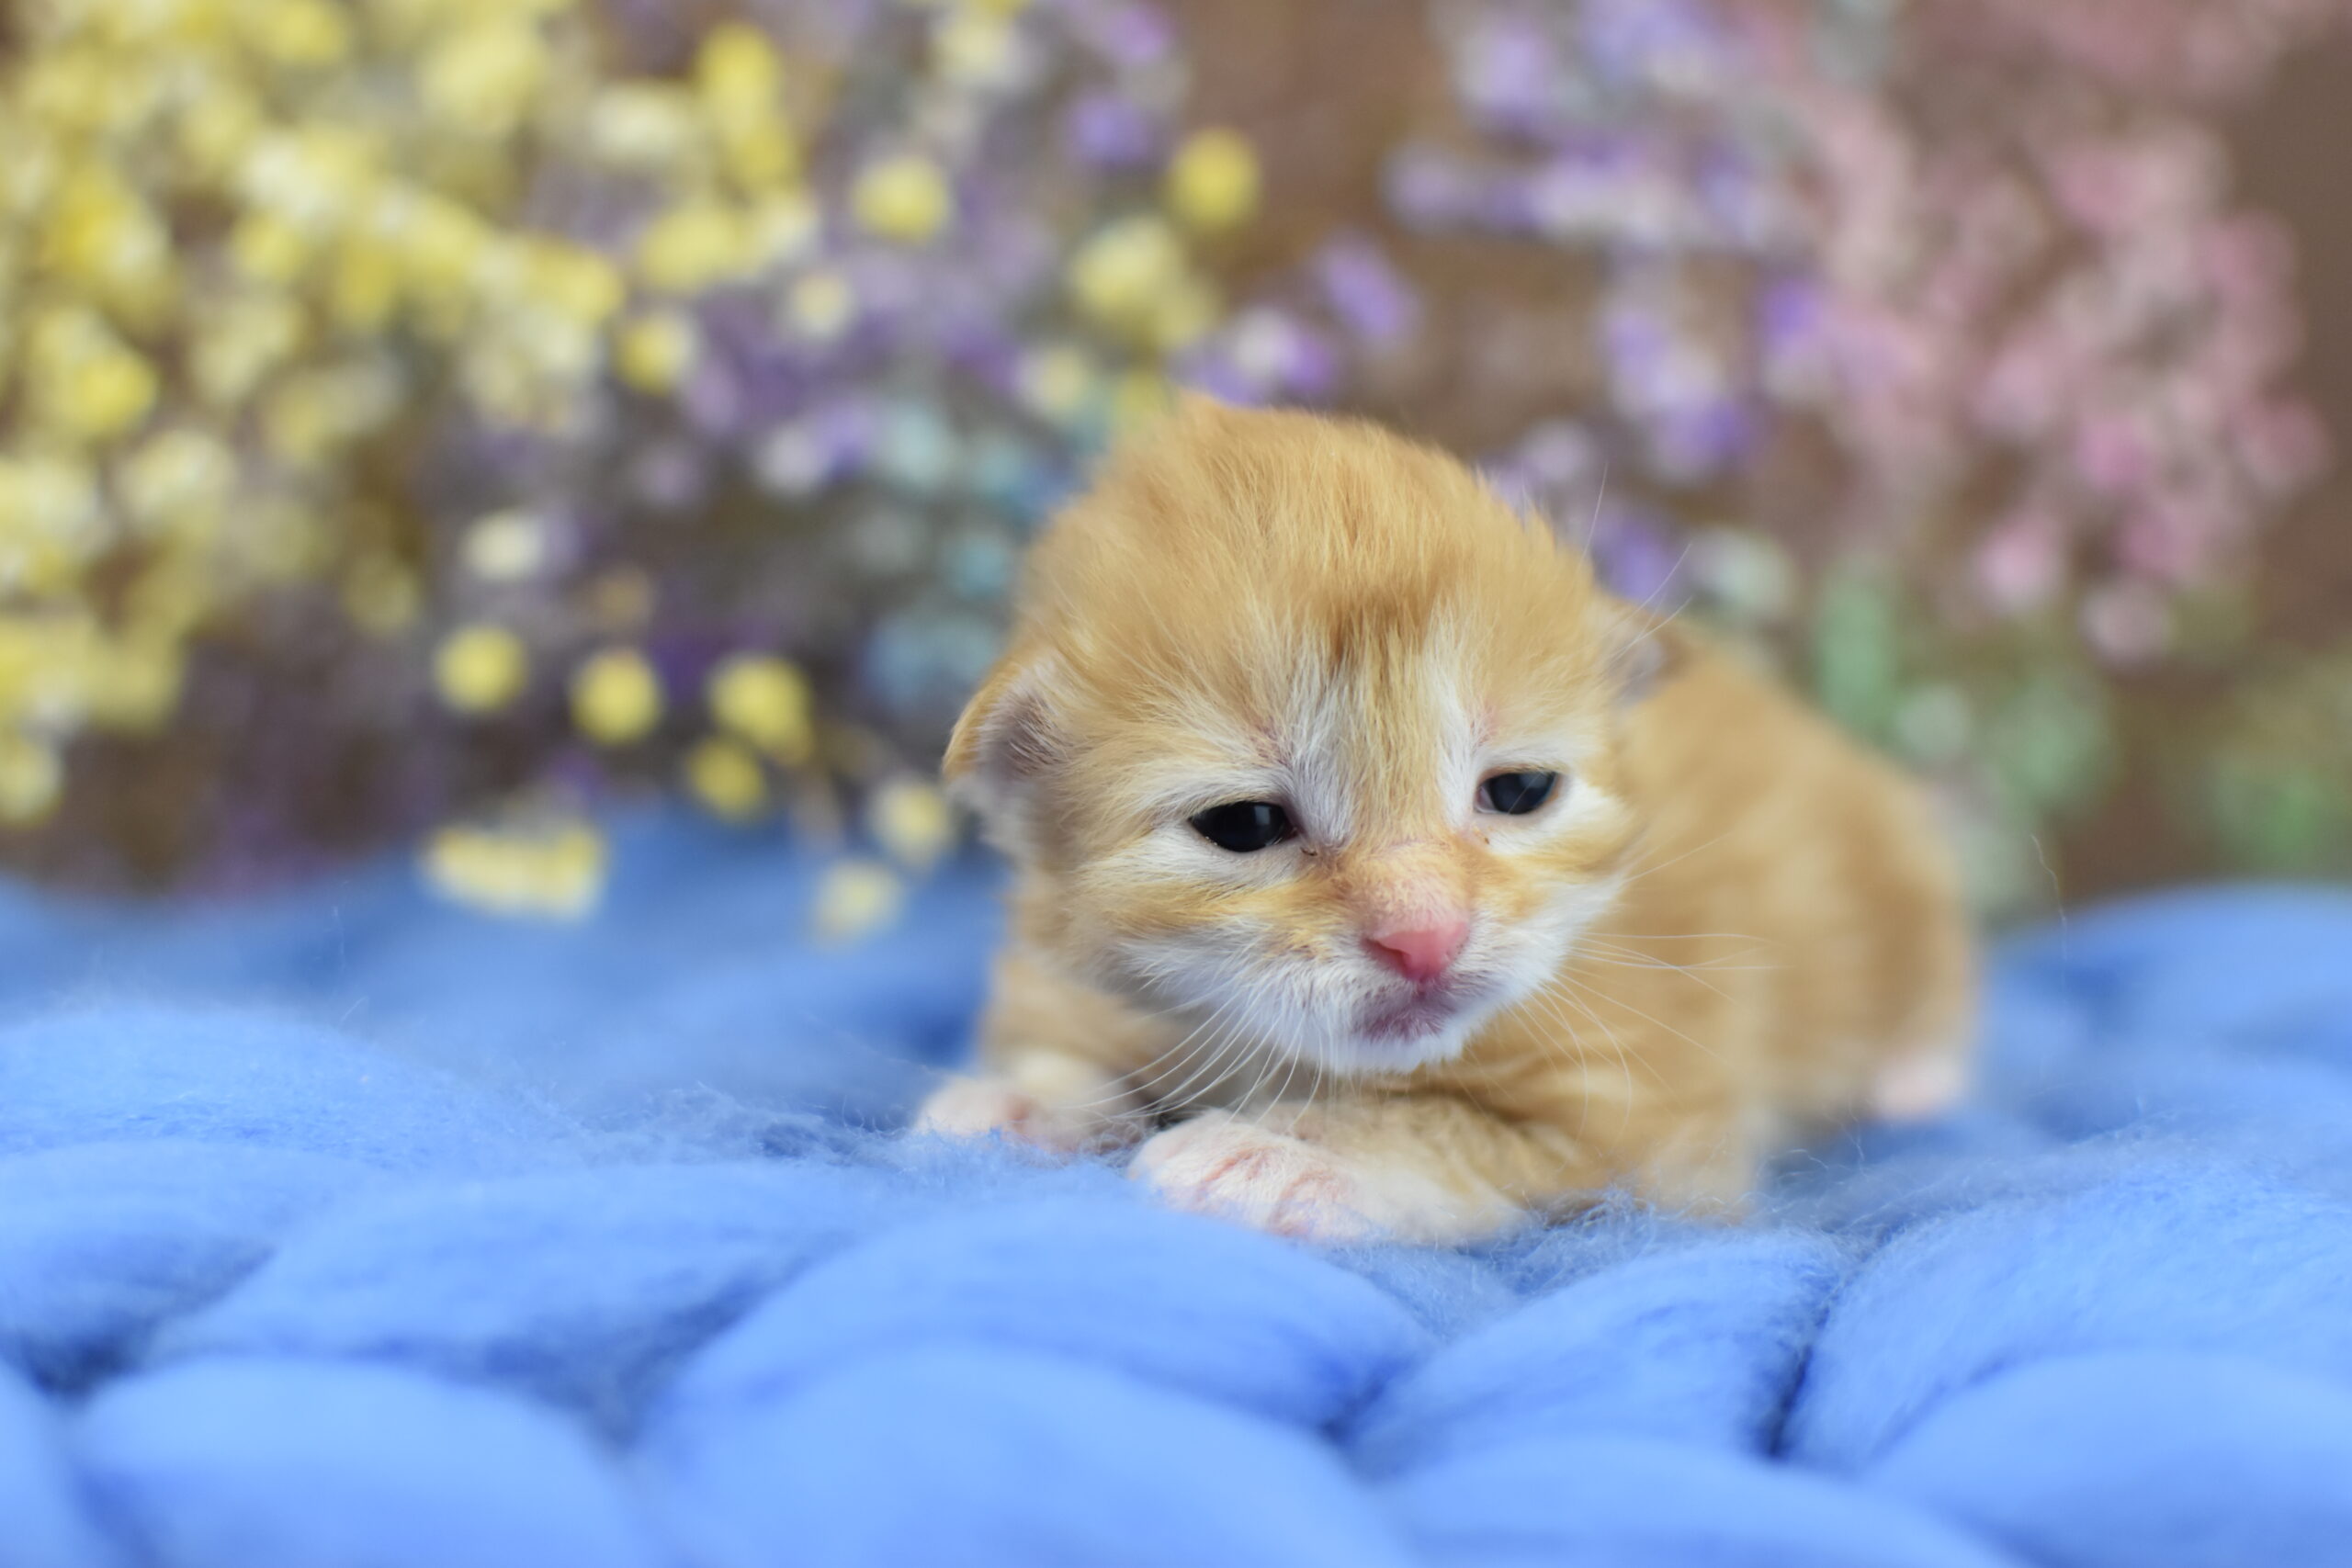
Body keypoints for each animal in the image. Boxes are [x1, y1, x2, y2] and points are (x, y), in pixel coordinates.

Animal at [915, 399, 1973, 1244]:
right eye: (1246, 822)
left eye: (1517, 792)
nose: (1425, 938)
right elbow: (1070, 1043)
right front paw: (1021, 1096)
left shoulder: (1650, 1126)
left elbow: (1440, 1134)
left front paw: (1276, 1154)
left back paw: (1917, 1075)